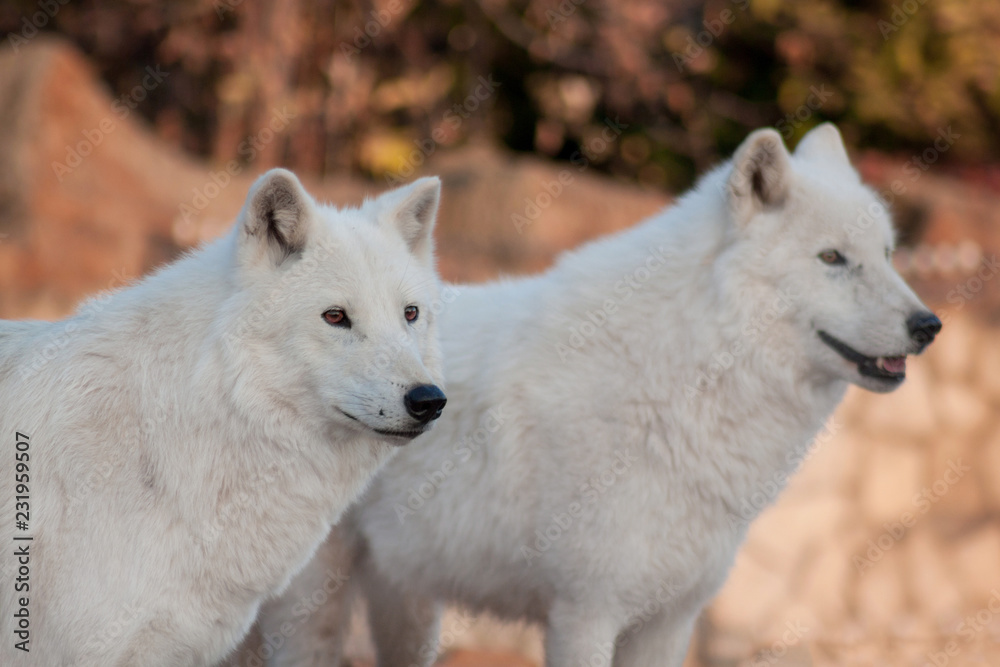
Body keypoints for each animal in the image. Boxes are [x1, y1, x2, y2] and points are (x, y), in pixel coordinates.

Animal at [256, 126, 936, 667]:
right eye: (832, 258)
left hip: (409, 608)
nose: (929, 325)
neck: (682, 380)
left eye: (887, 254)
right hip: (313, 608)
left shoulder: (669, 622)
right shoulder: (585, 614)